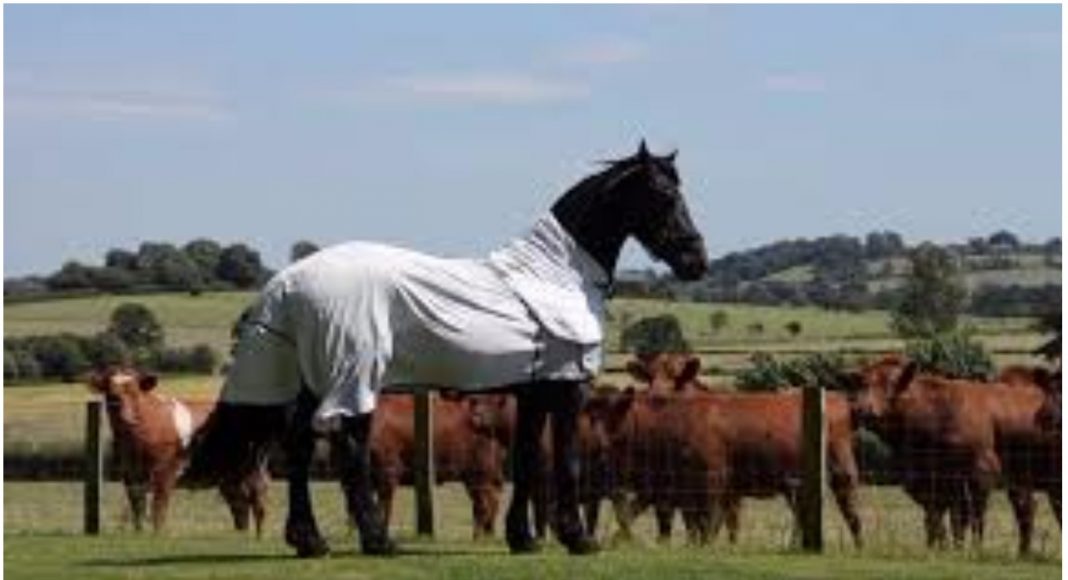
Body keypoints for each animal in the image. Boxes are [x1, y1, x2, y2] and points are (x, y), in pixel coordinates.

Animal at [89, 367, 269, 536]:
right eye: (110, 393)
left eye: (134, 392)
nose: (118, 407)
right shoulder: (130, 474)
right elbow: (138, 509)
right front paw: (139, 534)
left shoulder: (165, 472)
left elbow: (158, 509)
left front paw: (157, 535)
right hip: (228, 476)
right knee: (240, 507)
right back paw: (241, 536)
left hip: (254, 470)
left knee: (258, 503)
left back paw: (258, 538)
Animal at [183, 142, 709, 559]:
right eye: (664, 195)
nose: (696, 260)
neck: (557, 274)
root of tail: (290, 280)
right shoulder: (567, 389)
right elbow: (567, 461)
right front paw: (578, 539)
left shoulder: (532, 392)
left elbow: (527, 460)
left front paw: (523, 538)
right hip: (354, 375)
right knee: (350, 450)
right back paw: (377, 541)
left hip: (314, 378)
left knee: (299, 447)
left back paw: (310, 541)